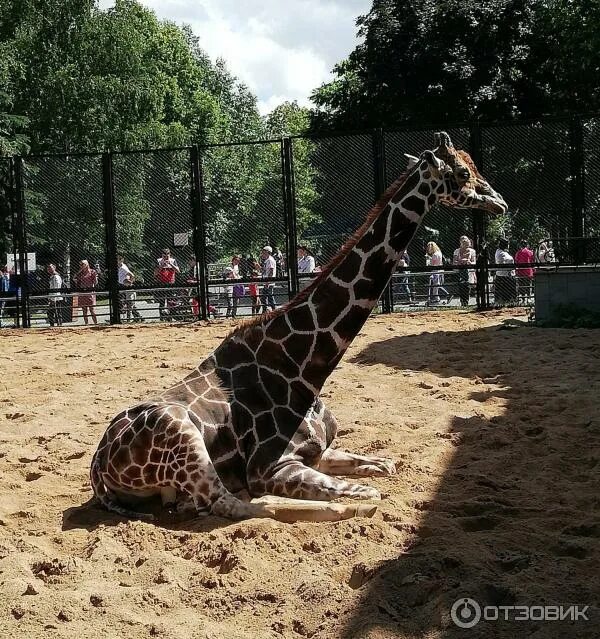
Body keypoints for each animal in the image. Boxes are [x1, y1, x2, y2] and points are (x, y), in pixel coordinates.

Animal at [90, 131, 506, 524]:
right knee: (240, 505)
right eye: (463, 172)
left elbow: (384, 465)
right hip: (181, 433)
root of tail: (97, 463)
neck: (304, 366)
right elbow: (368, 491)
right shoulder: (272, 467)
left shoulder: (320, 452)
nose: (500, 202)